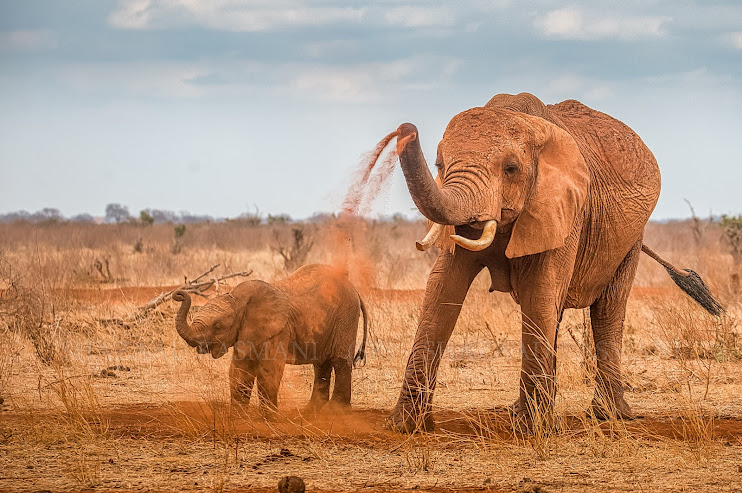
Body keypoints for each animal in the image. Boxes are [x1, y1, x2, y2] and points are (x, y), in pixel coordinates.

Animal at [175, 264, 372, 414]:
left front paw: (269, 418)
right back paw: (310, 412)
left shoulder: (279, 331)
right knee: (321, 364)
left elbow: (269, 370)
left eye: (218, 326)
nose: (179, 294)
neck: (237, 298)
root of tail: (353, 288)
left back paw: (335, 411)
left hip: (346, 317)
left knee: (339, 362)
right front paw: (238, 417)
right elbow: (239, 370)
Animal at [386, 91, 724, 430]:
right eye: (440, 165)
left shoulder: (566, 208)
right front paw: (405, 427)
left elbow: (538, 291)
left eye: (510, 168)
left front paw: (532, 431)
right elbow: (442, 289)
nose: (405, 129)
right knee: (557, 312)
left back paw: (607, 415)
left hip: (630, 237)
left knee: (607, 309)